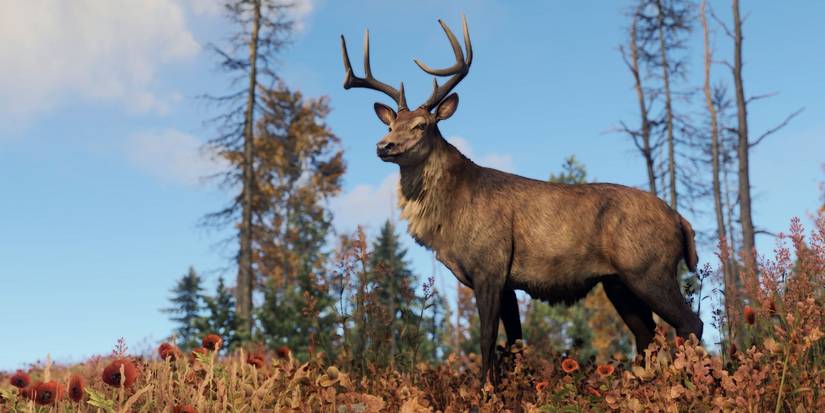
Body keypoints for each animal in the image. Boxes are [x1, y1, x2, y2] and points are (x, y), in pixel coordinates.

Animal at [340, 16, 703, 384]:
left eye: (422, 125)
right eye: (391, 124)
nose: (384, 145)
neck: (449, 219)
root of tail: (681, 221)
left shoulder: (490, 264)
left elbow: (487, 338)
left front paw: (483, 389)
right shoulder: (507, 283)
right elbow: (514, 342)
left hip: (649, 268)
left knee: (690, 322)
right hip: (618, 283)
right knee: (646, 334)